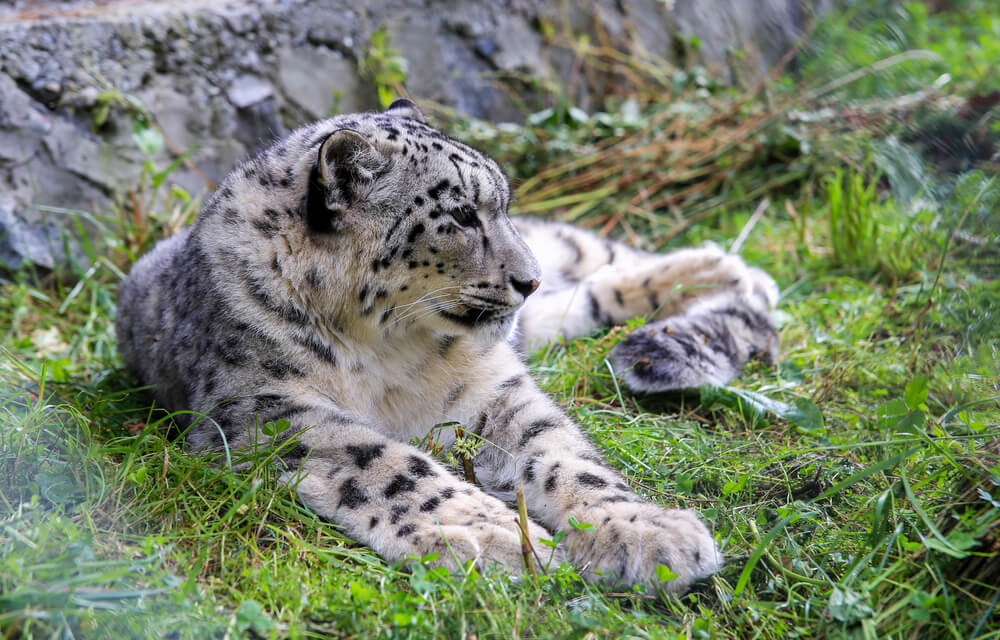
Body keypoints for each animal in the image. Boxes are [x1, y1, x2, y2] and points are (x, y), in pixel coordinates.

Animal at [115, 97, 772, 592]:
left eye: (501, 205)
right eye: (460, 215)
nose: (529, 281)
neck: (387, 350)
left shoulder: (493, 389)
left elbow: (564, 453)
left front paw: (647, 530)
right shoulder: (259, 407)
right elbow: (387, 464)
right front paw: (499, 535)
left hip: (560, 264)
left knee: (607, 257)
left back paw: (706, 270)